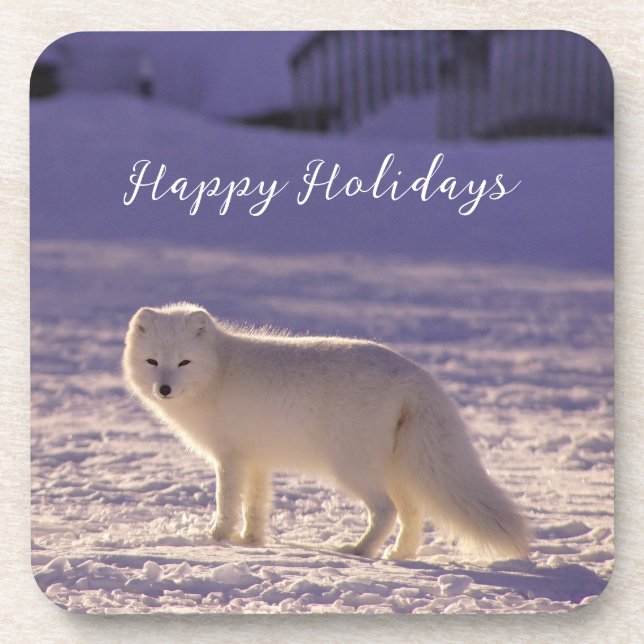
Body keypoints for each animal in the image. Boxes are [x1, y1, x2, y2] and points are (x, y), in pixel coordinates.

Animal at [123, 302, 529, 561]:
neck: (219, 371)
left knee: (386, 511)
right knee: (412, 513)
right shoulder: (257, 460)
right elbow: (256, 505)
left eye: (184, 362)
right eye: (153, 361)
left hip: (352, 467)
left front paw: (216, 539)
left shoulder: (230, 457)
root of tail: (416, 375)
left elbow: (227, 502)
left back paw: (361, 551)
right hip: (395, 468)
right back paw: (399, 555)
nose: (164, 389)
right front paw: (252, 541)